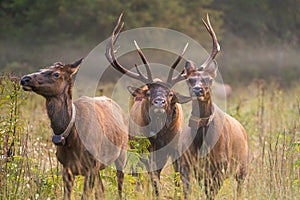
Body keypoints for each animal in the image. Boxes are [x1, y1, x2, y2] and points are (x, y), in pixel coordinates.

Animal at [19, 59, 127, 200]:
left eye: (56, 74)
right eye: (42, 69)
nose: (24, 79)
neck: (72, 138)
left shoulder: (91, 166)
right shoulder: (67, 167)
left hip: (122, 152)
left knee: (119, 182)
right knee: (101, 190)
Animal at [105, 14, 189, 196]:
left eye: (170, 94)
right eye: (149, 93)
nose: (159, 102)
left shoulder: (175, 148)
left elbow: (177, 177)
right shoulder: (146, 150)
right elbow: (153, 177)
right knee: (138, 173)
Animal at [178, 14, 248, 199]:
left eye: (209, 79)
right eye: (190, 80)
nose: (198, 90)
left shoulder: (219, 167)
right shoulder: (186, 166)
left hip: (243, 166)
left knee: (240, 187)